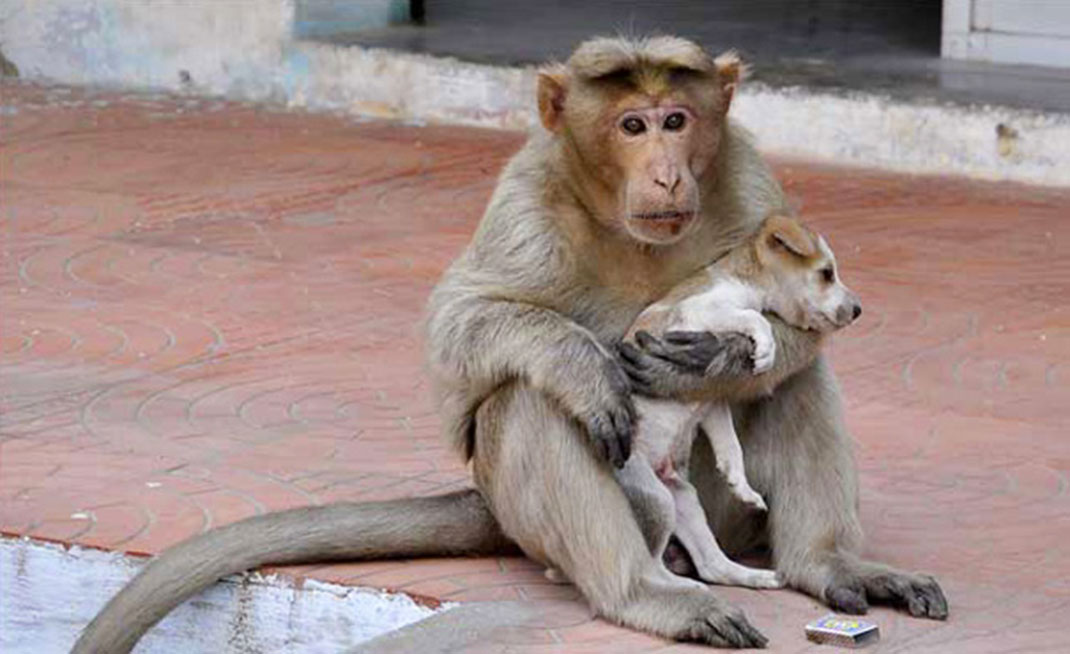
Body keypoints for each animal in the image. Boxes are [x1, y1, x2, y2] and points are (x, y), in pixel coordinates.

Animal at [70, 36, 947, 653]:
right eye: (632, 125)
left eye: (678, 120)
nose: (666, 173)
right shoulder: (528, 198)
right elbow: (464, 328)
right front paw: (601, 366)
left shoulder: (750, 175)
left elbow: (783, 351)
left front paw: (729, 360)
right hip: (572, 506)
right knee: (530, 403)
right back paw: (642, 591)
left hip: (714, 515)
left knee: (796, 387)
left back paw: (819, 566)